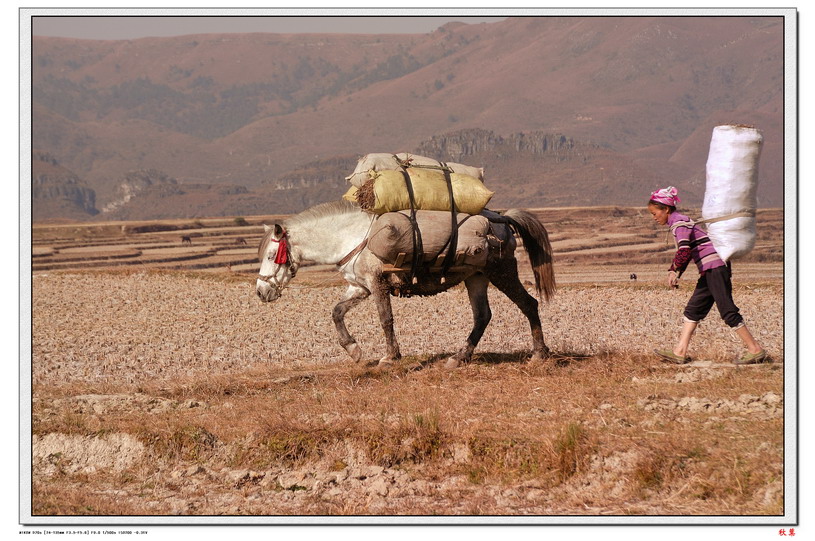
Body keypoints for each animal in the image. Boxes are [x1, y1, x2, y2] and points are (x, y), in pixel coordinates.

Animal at [258, 200, 556, 370]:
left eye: (272, 256)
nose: (261, 292)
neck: (351, 237)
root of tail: (502, 219)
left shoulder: (376, 284)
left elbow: (385, 318)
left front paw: (390, 357)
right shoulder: (359, 287)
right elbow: (337, 312)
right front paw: (353, 350)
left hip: (501, 272)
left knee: (528, 304)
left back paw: (539, 354)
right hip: (476, 277)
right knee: (482, 316)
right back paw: (458, 358)